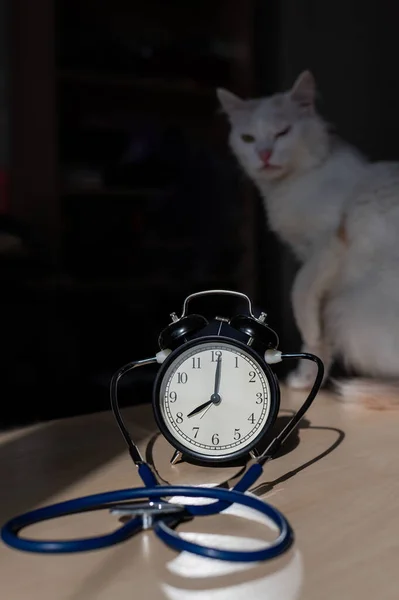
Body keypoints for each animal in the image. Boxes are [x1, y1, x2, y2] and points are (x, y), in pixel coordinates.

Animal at [219, 69, 399, 408]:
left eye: (282, 132)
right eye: (248, 138)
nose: (264, 154)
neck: (292, 184)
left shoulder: (326, 245)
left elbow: (299, 296)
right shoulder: (314, 266)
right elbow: (316, 335)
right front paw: (307, 377)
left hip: (349, 313)